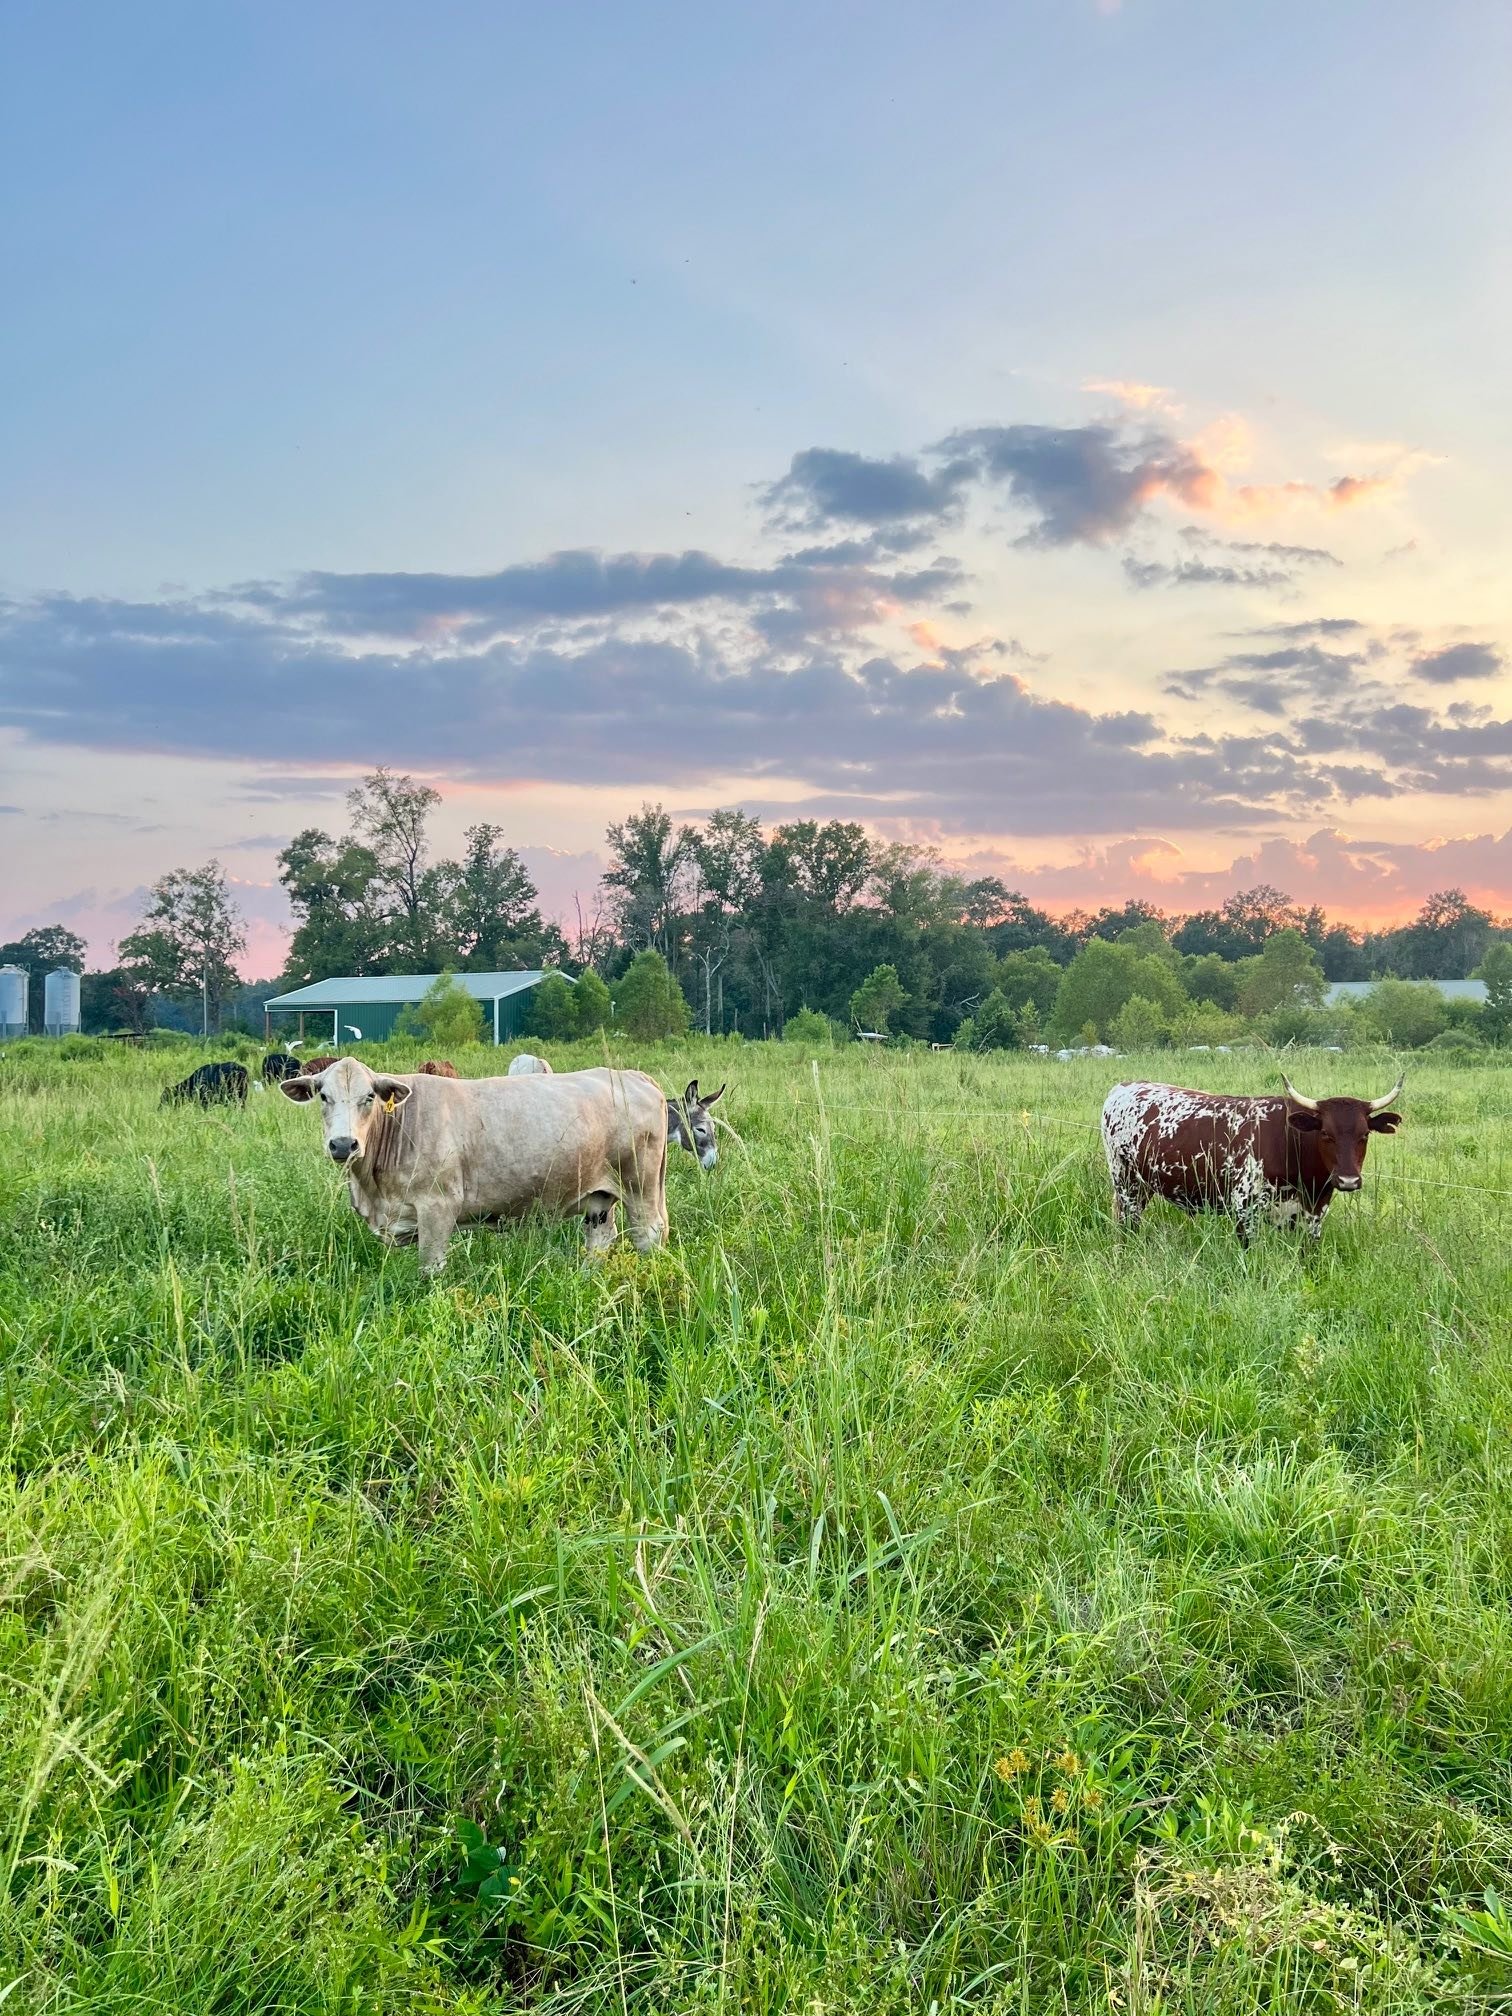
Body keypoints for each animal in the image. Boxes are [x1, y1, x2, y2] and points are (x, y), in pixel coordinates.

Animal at [280, 1056, 668, 1272]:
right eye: (323, 1096)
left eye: (369, 1097)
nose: (344, 1144)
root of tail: (631, 1075)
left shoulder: (437, 1208)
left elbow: (431, 1270)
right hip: (599, 1196)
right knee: (600, 1238)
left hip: (641, 1186)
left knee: (648, 1233)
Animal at [1101, 1071, 1404, 1244]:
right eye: (1326, 1134)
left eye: (1364, 1135)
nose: (1348, 1180)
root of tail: (1122, 1087)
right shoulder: (1244, 1208)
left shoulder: (1313, 1211)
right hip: (1125, 1183)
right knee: (1128, 1224)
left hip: (1143, 1186)